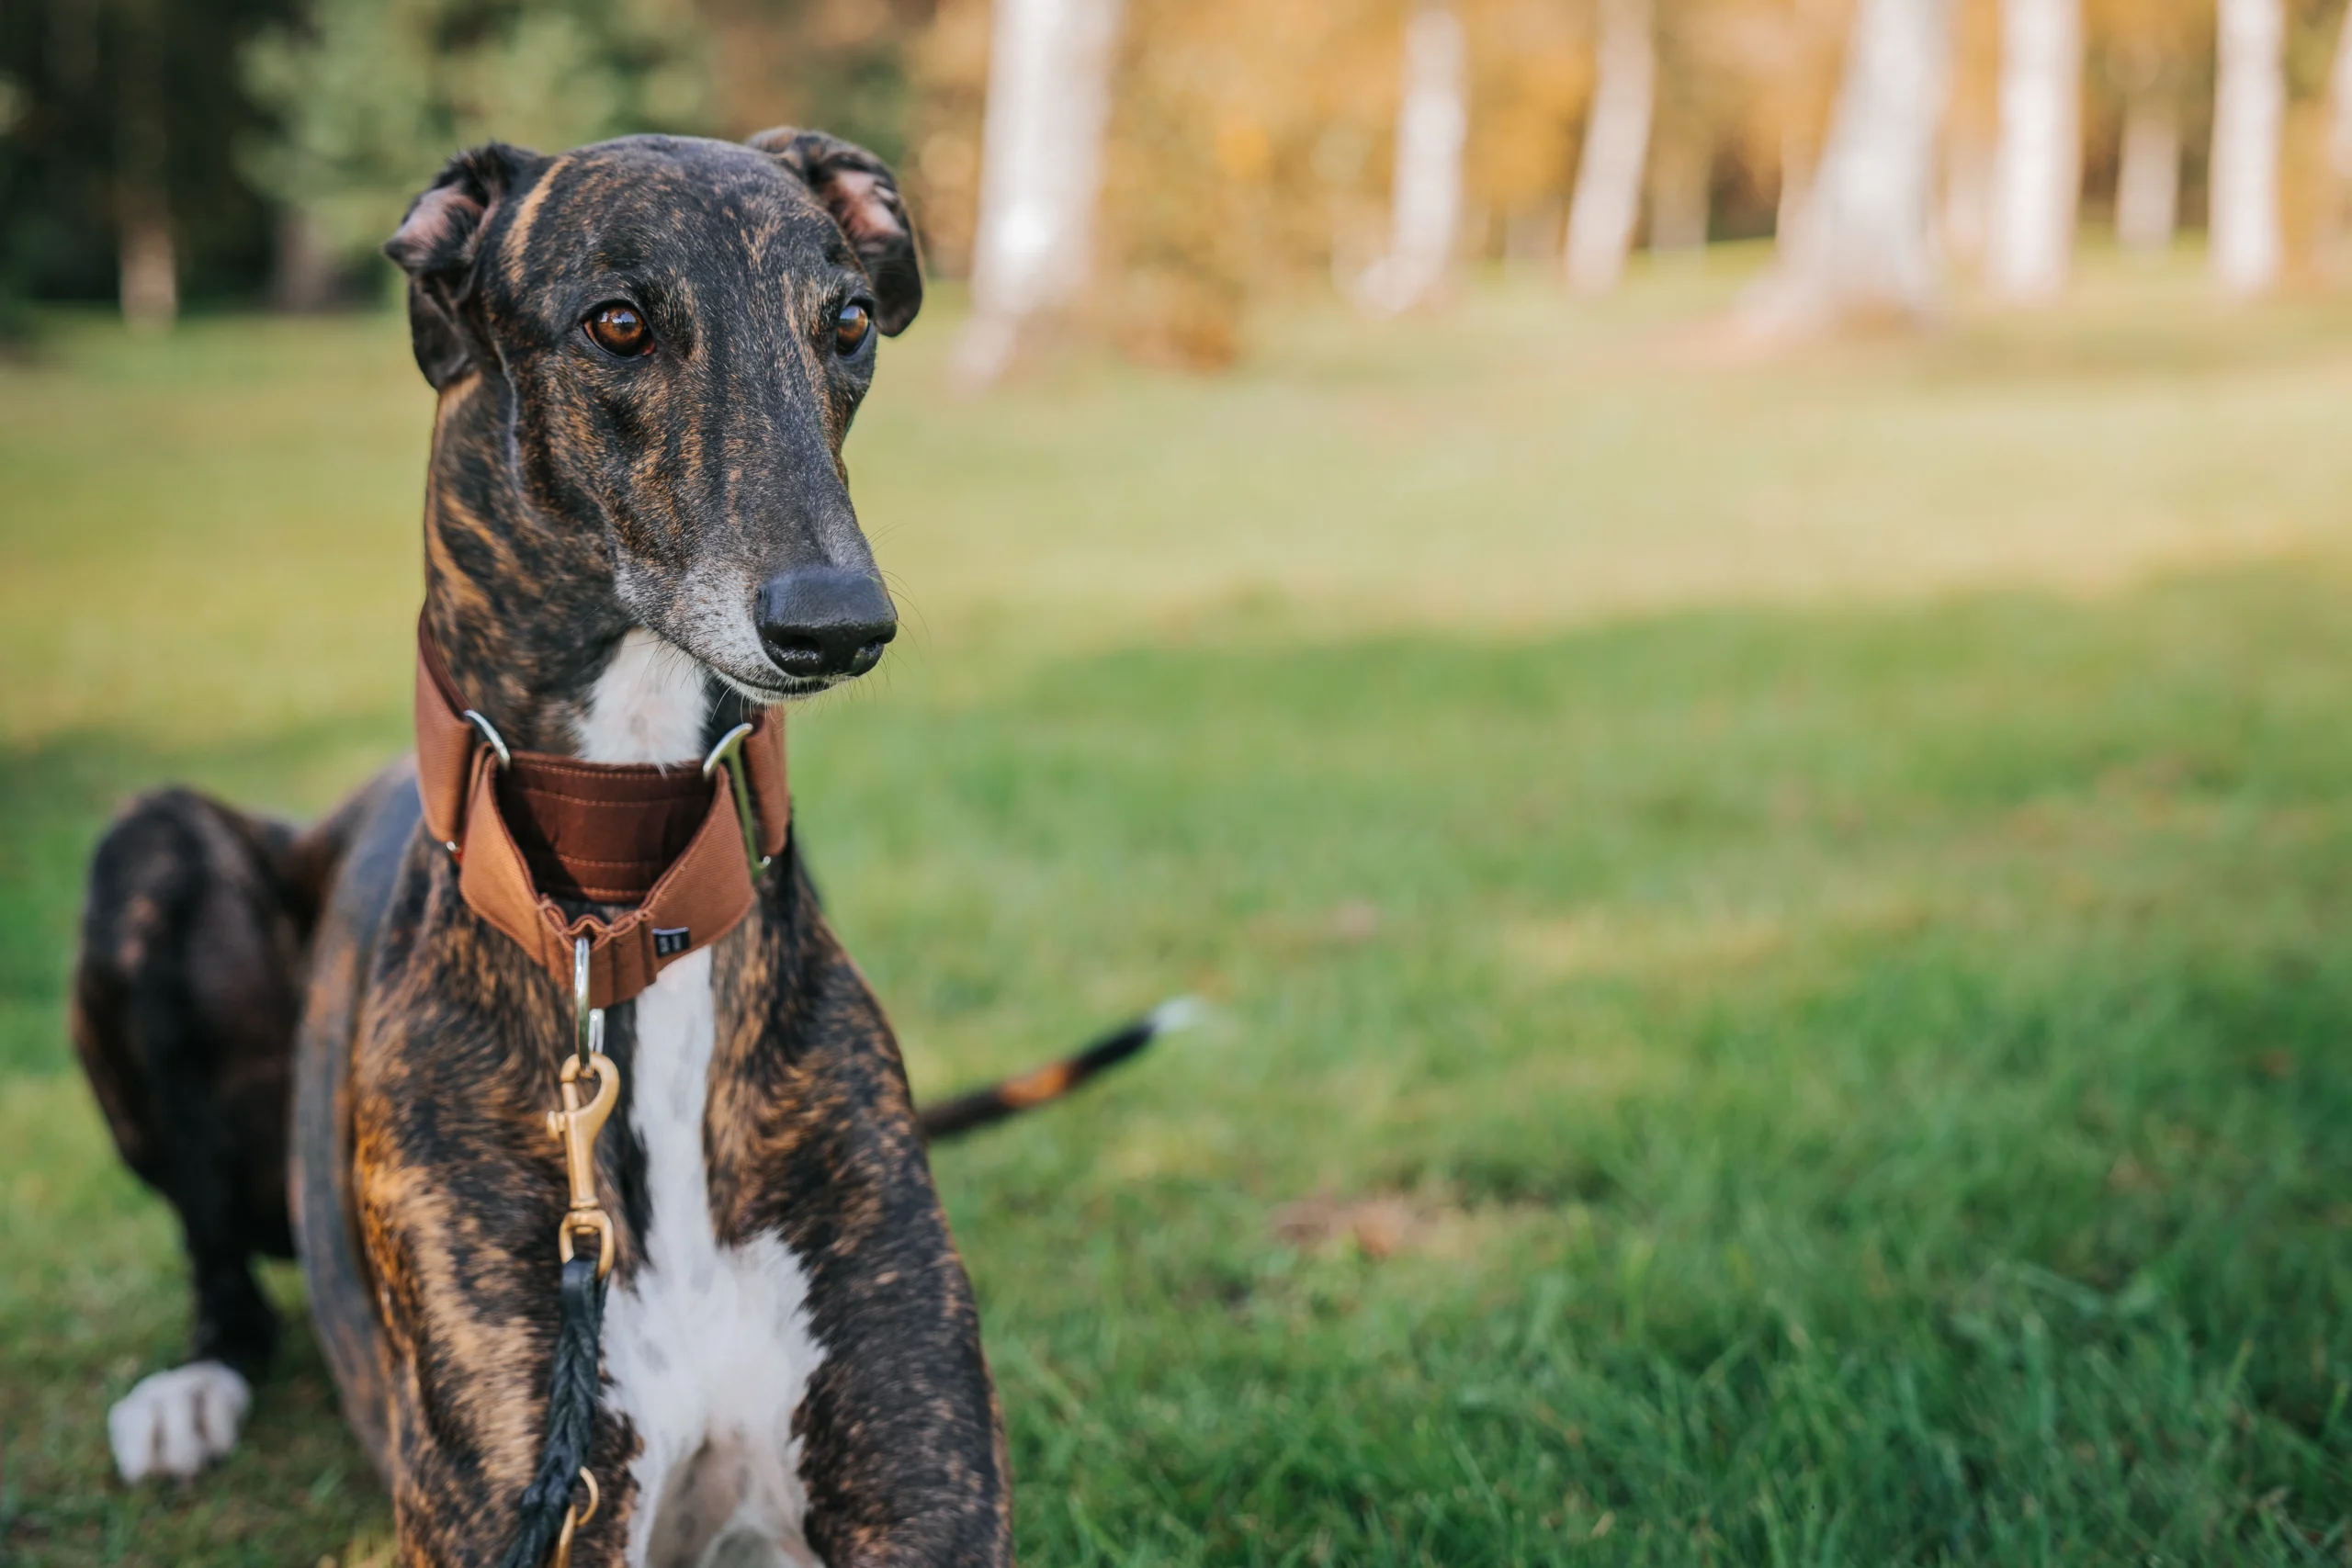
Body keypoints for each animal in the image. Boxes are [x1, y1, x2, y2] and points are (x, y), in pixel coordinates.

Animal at [78, 129, 1161, 1561]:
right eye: (619, 323)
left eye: (849, 322)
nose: (838, 623)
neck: (623, 900)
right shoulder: (520, 1484)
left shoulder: (919, 1486)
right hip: (148, 849)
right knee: (217, 1252)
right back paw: (190, 1385)